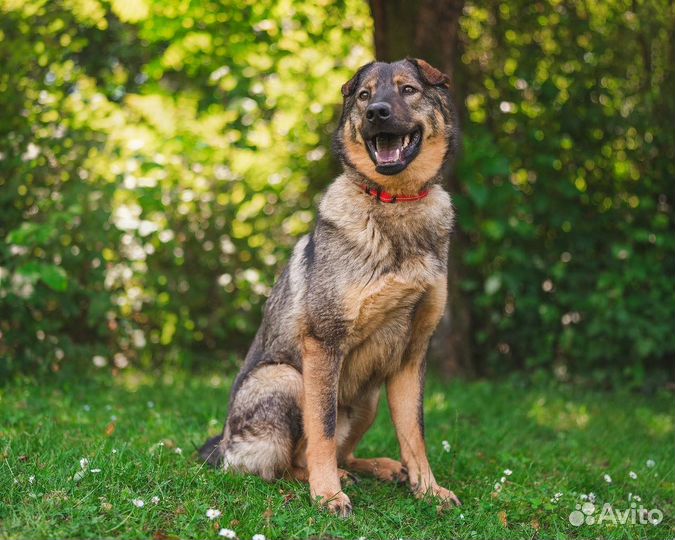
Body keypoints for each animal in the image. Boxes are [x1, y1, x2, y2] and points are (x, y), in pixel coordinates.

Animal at [201, 57, 462, 516]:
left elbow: (415, 433)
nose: (376, 112)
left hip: (368, 399)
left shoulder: (411, 358)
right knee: (286, 463)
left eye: (408, 90)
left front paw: (428, 490)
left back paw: (376, 467)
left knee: (344, 450)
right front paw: (326, 494)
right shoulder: (324, 344)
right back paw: (329, 479)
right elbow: (321, 431)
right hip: (288, 379)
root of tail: (225, 447)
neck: (394, 204)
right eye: (364, 95)